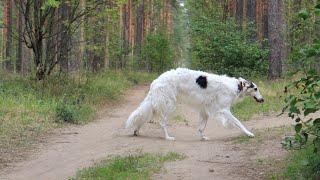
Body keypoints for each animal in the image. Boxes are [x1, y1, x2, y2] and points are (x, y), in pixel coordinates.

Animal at [126, 68, 264, 141]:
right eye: (256, 89)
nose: (262, 100)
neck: (236, 86)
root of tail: (156, 81)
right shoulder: (224, 109)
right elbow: (238, 123)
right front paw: (249, 133)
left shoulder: (205, 110)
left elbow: (201, 128)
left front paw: (203, 137)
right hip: (169, 105)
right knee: (162, 123)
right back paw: (168, 137)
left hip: (156, 105)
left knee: (143, 117)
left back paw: (136, 131)